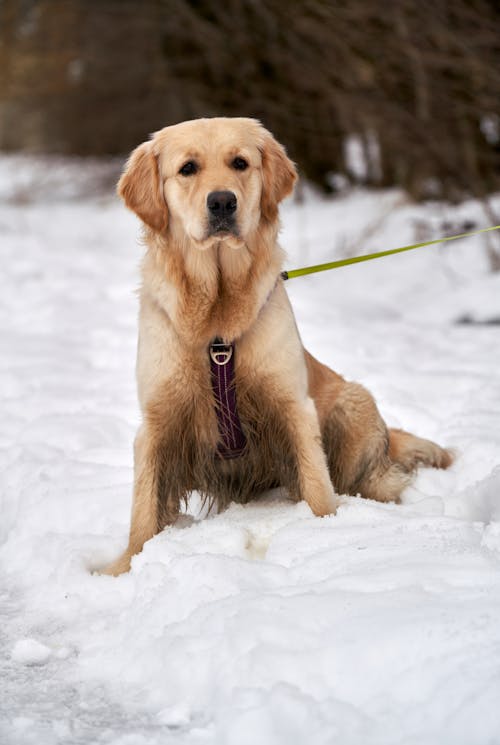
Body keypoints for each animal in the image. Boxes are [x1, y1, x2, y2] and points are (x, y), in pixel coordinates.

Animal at [101, 119, 454, 580]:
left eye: (240, 163)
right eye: (187, 168)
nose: (222, 201)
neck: (217, 324)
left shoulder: (293, 405)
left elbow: (317, 484)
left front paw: (328, 531)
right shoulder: (157, 422)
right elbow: (144, 510)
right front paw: (126, 566)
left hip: (353, 402)